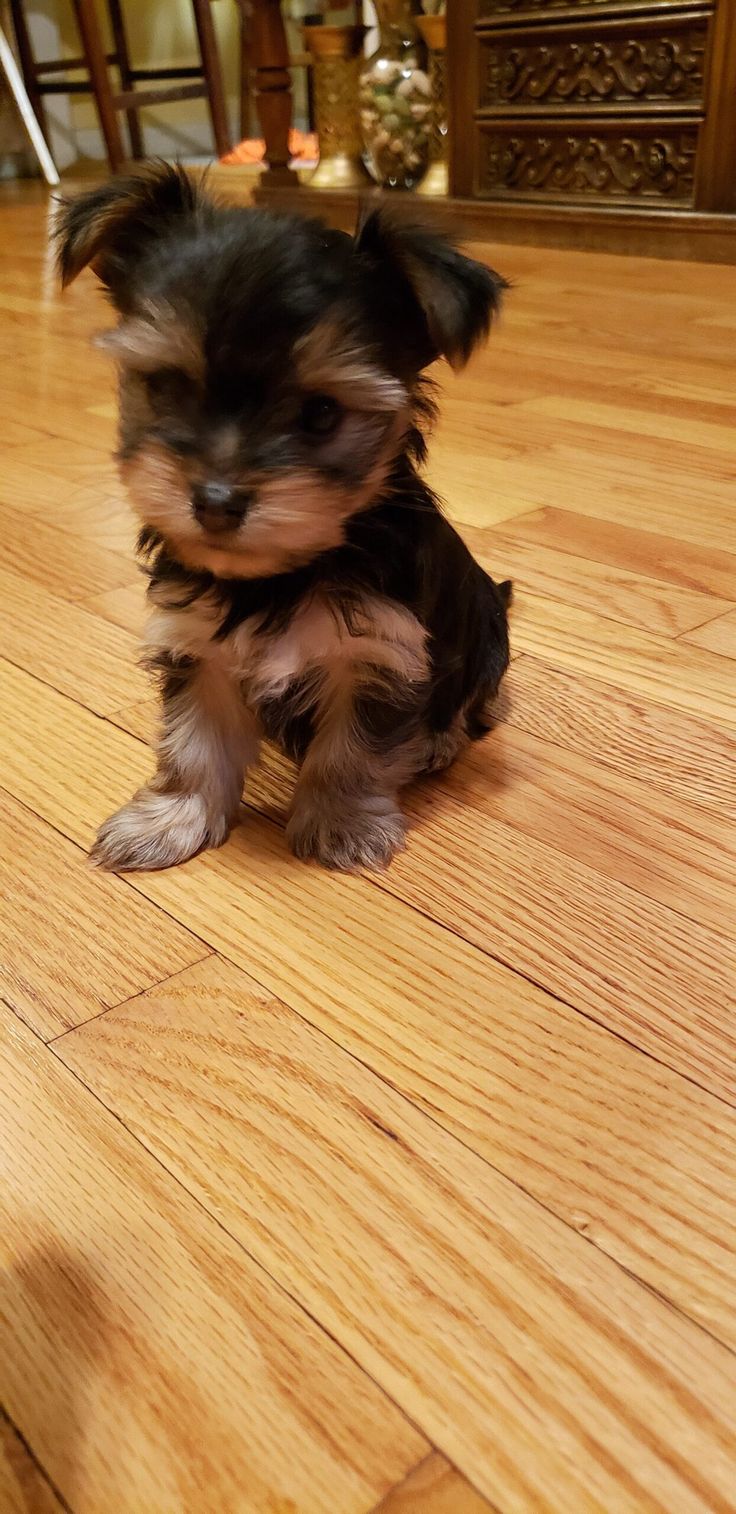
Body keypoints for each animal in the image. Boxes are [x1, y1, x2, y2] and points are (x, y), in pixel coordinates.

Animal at [59, 162, 511, 878]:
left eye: (321, 414)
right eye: (165, 386)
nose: (216, 500)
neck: (284, 573)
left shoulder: (381, 650)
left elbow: (353, 748)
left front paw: (341, 822)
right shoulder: (198, 643)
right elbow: (193, 743)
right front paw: (170, 820)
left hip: (487, 630)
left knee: (475, 698)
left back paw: (439, 739)